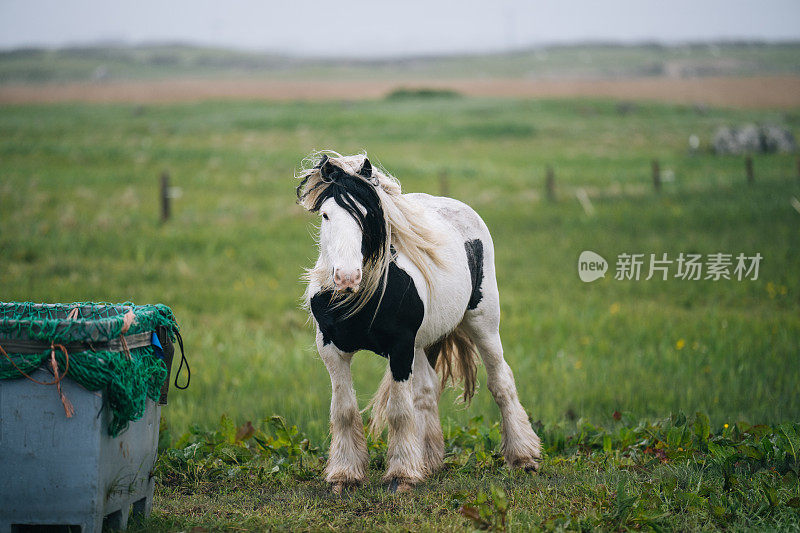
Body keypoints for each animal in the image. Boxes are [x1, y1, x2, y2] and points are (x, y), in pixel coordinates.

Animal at [296, 152, 540, 492]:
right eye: (326, 215)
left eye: (368, 215)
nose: (346, 278)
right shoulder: (331, 349)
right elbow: (344, 410)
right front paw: (345, 475)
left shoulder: (400, 348)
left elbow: (399, 411)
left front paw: (401, 475)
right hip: (423, 343)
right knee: (426, 391)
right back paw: (428, 460)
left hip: (483, 324)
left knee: (501, 382)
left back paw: (523, 456)